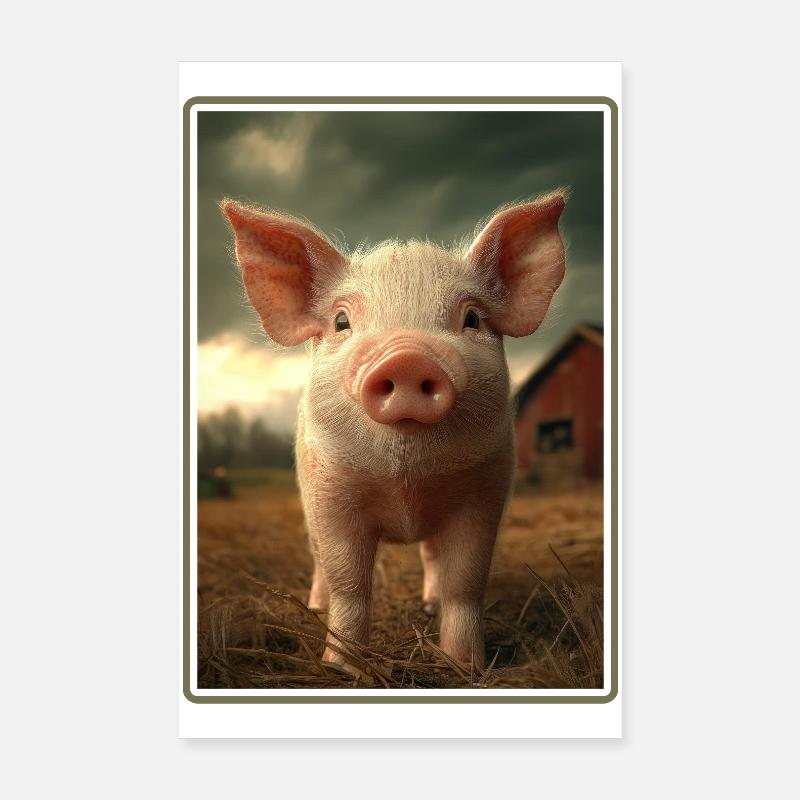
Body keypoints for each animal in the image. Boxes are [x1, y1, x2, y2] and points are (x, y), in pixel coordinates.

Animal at [221, 191, 567, 671]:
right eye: (341, 321)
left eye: (472, 319)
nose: (407, 357)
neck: (406, 484)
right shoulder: (332, 495)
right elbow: (350, 585)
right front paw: (341, 668)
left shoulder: (484, 492)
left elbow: (465, 582)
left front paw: (466, 666)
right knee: (320, 562)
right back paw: (315, 606)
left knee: (432, 558)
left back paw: (428, 605)